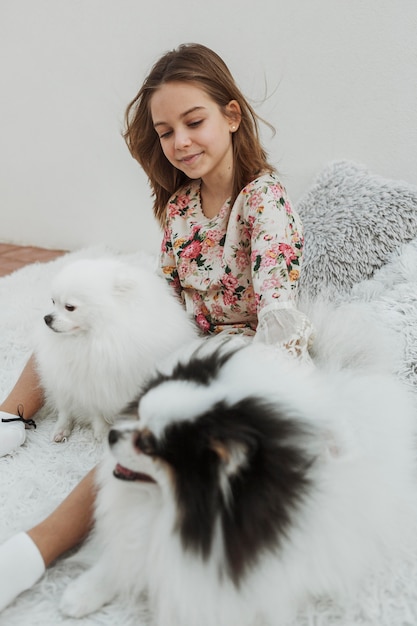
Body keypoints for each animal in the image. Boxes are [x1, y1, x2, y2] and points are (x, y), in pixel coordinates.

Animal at [35, 256, 197, 442]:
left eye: (69, 307)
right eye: (53, 302)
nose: (47, 318)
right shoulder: (89, 385)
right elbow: (96, 411)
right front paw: (102, 432)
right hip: (61, 386)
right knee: (64, 410)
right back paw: (61, 429)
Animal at [60, 326, 416, 620]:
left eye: (147, 445)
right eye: (139, 416)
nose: (112, 435)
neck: (175, 511)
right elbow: (123, 558)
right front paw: (81, 594)